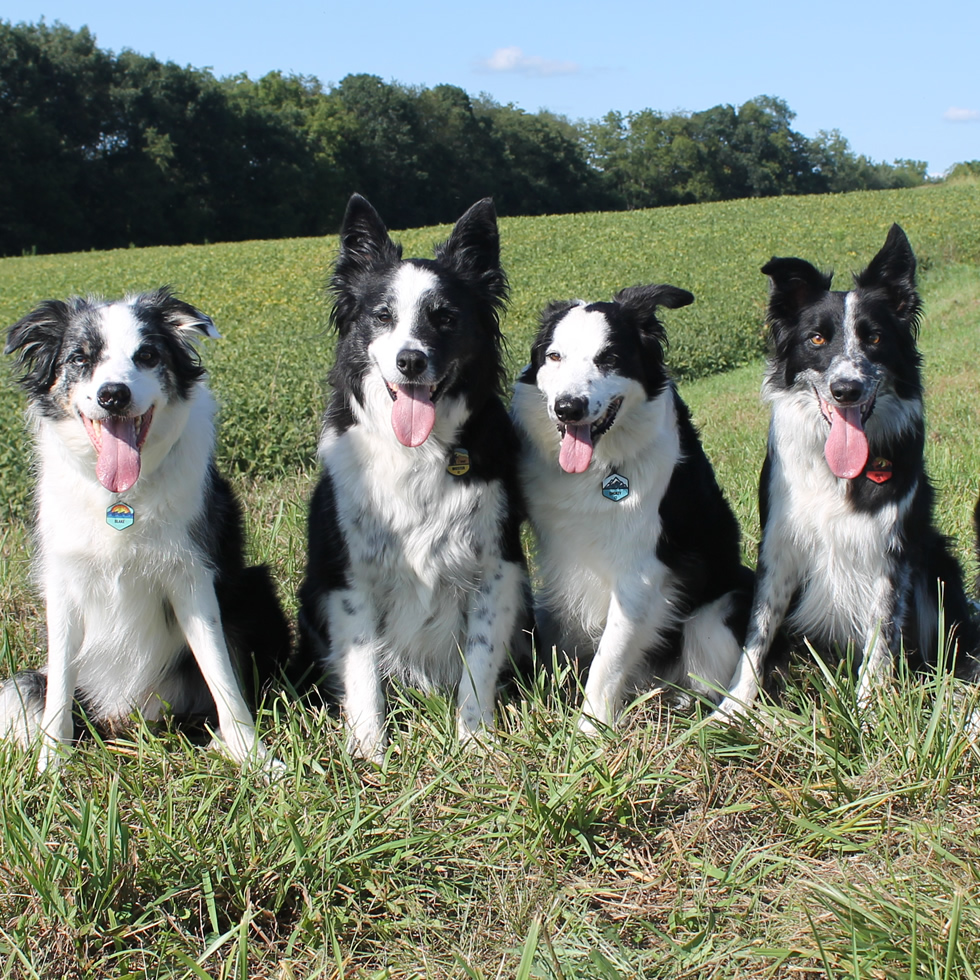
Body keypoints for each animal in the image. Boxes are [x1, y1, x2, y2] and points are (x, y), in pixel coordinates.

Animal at [0, 288, 290, 768]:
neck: (120, 498)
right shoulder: (62, 583)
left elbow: (221, 673)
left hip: (255, 586)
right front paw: (52, 762)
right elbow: (58, 681)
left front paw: (255, 757)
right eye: (79, 358)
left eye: (148, 355)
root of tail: (128, 714)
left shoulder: (191, 575)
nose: (113, 395)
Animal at [712, 226, 980, 724]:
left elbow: (881, 640)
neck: (834, 468)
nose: (846, 389)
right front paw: (731, 710)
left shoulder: (890, 551)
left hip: (938, 565)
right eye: (817, 340)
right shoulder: (780, 546)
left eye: (874, 338)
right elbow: (757, 634)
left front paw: (871, 716)